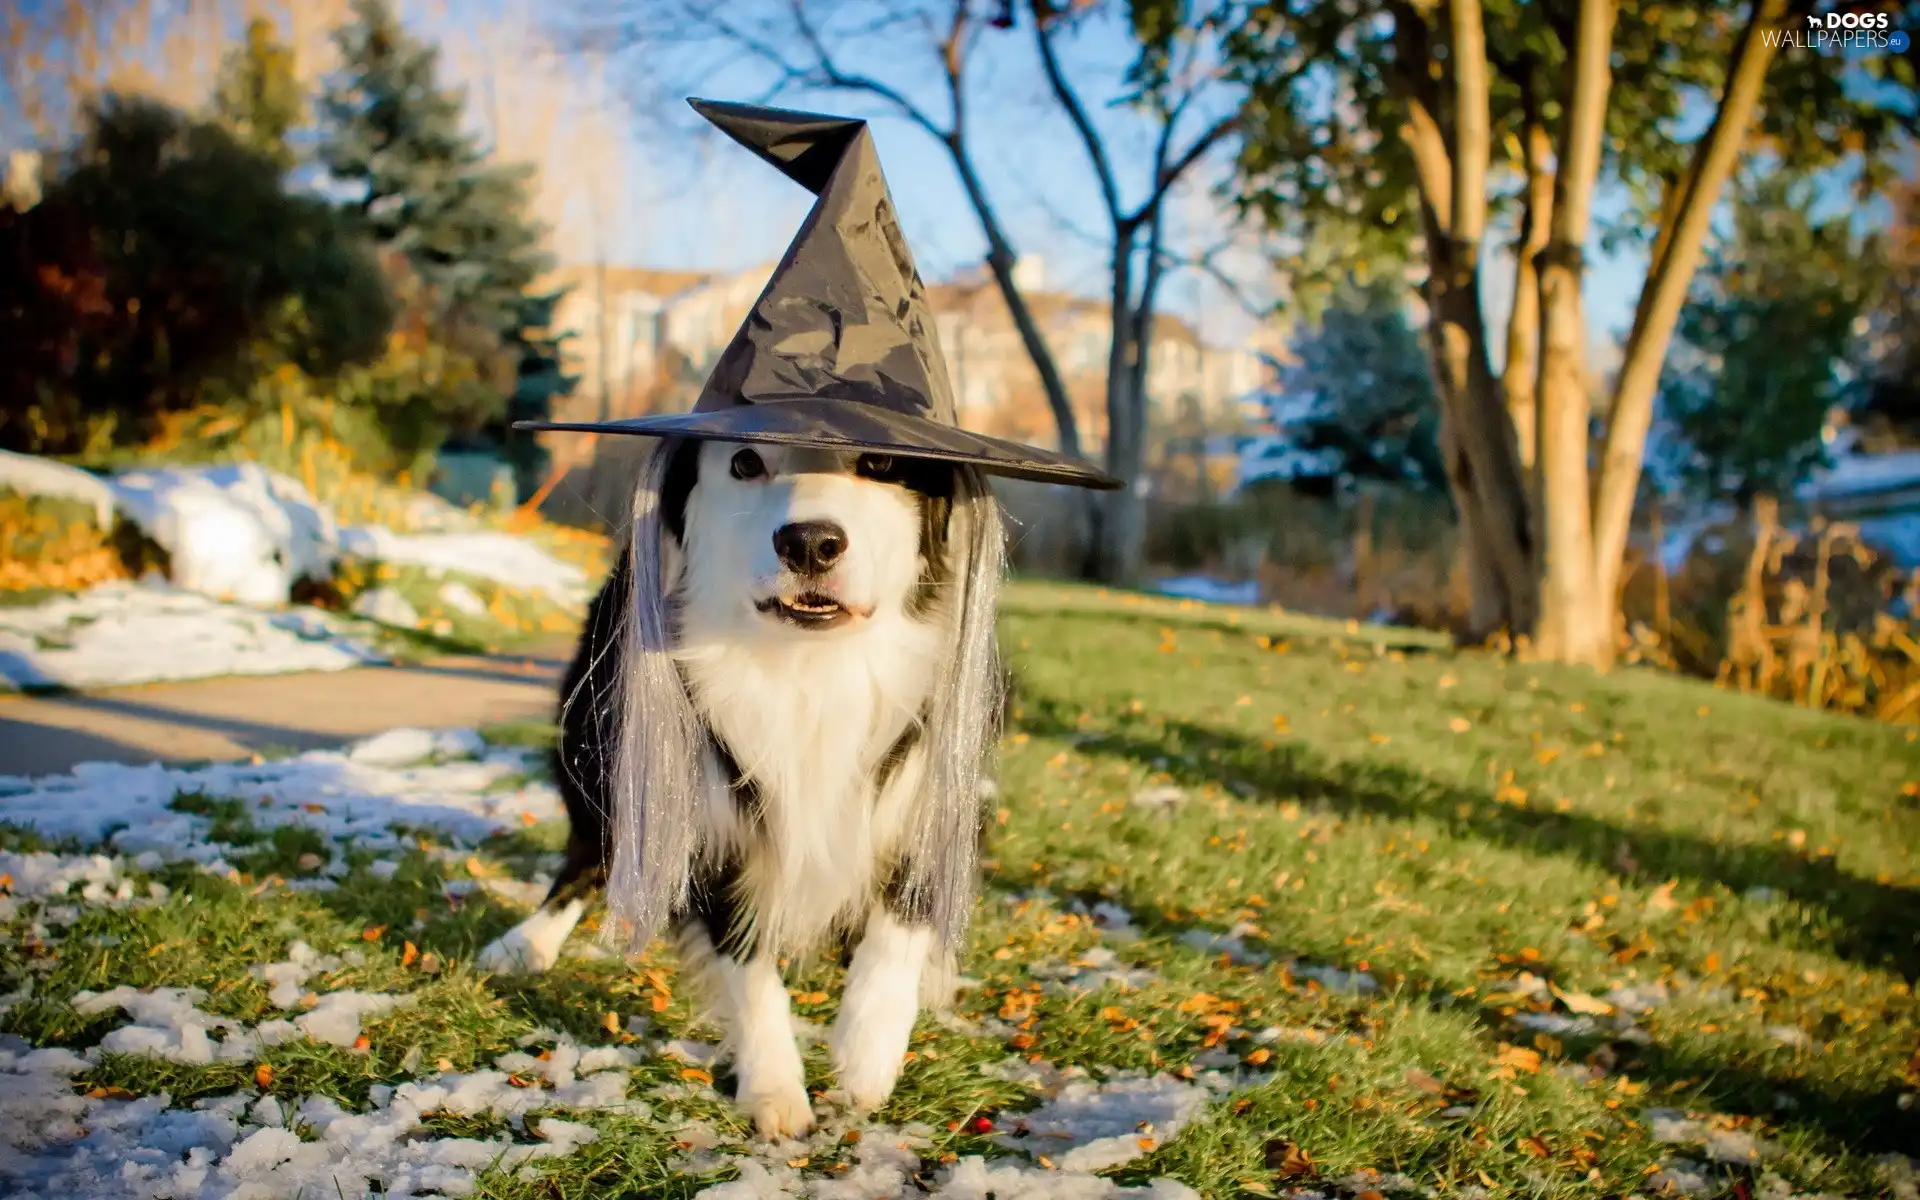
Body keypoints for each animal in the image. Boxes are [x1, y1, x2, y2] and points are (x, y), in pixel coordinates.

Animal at [480, 437, 1006, 1128]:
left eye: (882, 464)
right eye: (745, 462)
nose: (810, 543)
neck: (811, 666)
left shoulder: (935, 786)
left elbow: (900, 922)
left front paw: (866, 1056)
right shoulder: (708, 824)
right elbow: (748, 968)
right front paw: (775, 1090)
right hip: (598, 746)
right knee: (591, 852)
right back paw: (526, 943)